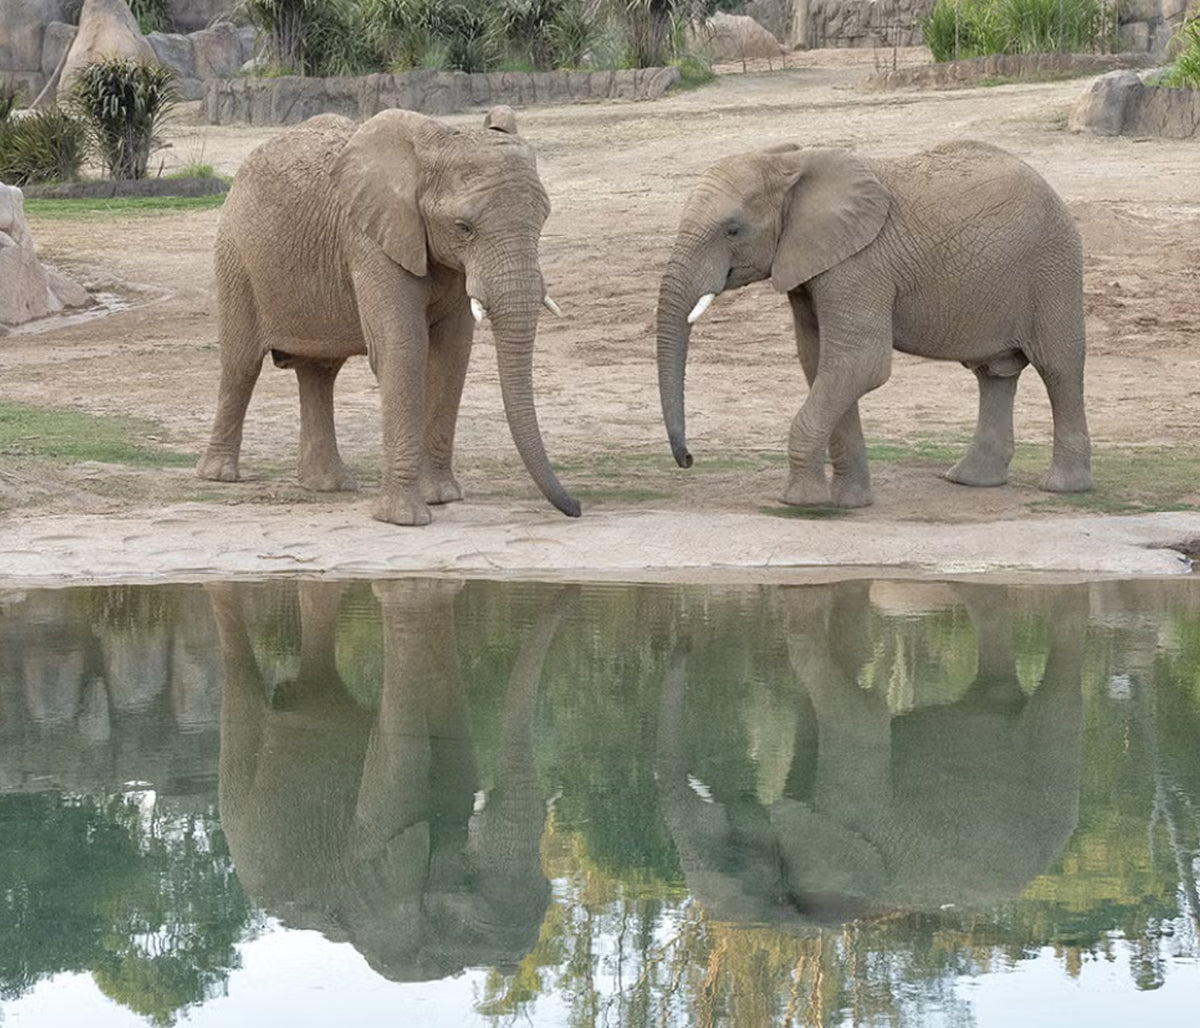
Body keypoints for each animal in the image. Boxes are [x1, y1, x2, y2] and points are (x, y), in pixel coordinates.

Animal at [196, 105, 580, 526]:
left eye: (543, 220)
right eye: (464, 227)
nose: (576, 508)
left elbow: (451, 356)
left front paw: (442, 497)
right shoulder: (370, 240)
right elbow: (403, 349)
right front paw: (405, 518)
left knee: (319, 372)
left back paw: (328, 485)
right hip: (235, 256)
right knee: (241, 365)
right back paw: (219, 476)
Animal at [656, 140, 1093, 509]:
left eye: (733, 230)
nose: (688, 459)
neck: (793, 163)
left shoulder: (860, 265)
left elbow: (859, 364)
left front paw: (799, 502)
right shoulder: (813, 265)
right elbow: (821, 364)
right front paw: (850, 503)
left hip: (1053, 267)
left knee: (1059, 368)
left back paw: (1063, 488)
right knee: (993, 374)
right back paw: (969, 480)